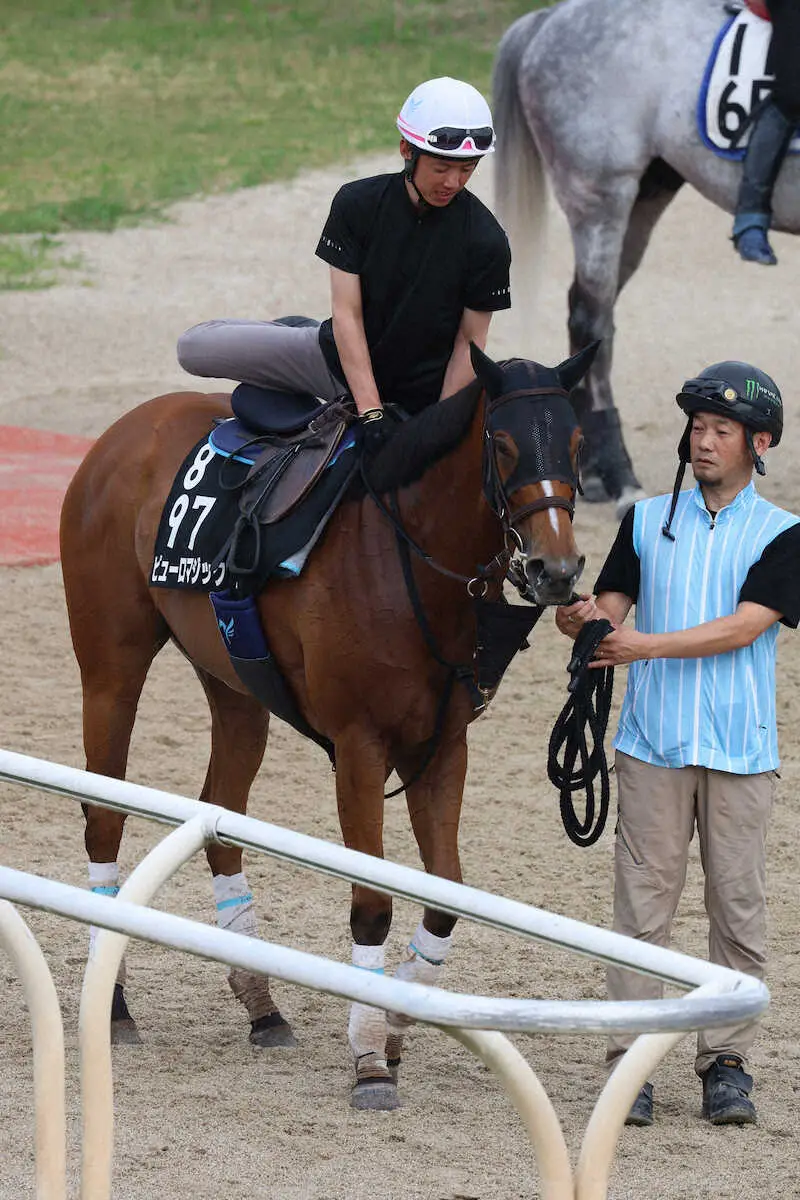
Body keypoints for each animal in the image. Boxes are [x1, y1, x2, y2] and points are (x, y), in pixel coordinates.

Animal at [59, 343, 592, 1108]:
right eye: (503, 443)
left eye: (578, 444)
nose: (555, 569)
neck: (405, 563)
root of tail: (124, 431)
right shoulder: (361, 748)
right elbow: (372, 903)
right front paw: (369, 1056)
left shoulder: (442, 748)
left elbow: (444, 899)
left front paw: (396, 1024)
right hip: (111, 669)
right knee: (104, 817)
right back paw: (118, 1004)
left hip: (235, 684)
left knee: (221, 820)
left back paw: (262, 1005)